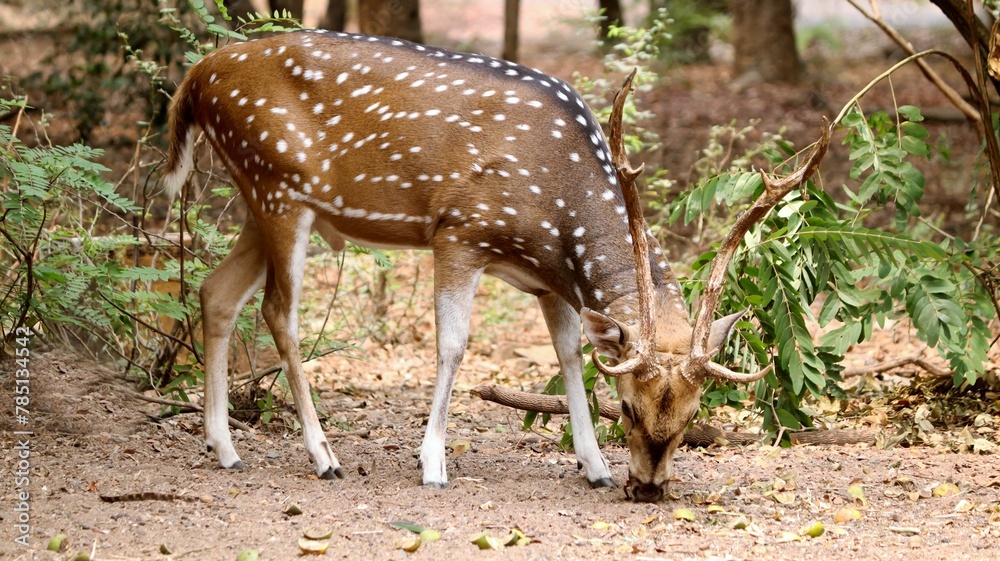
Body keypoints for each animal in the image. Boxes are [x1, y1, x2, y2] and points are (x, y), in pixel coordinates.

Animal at [160, 30, 824, 500]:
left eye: (693, 416)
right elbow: (454, 345)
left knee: (216, 292)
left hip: (256, 197)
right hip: (278, 187)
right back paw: (324, 457)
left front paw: (595, 466)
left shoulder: (551, 282)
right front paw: (432, 463)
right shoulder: (459, 231)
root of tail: (194, 79)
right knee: (278, 312)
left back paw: (224, 448)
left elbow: (569, 354)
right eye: (631, 407)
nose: (650, 488)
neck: (556, 213)